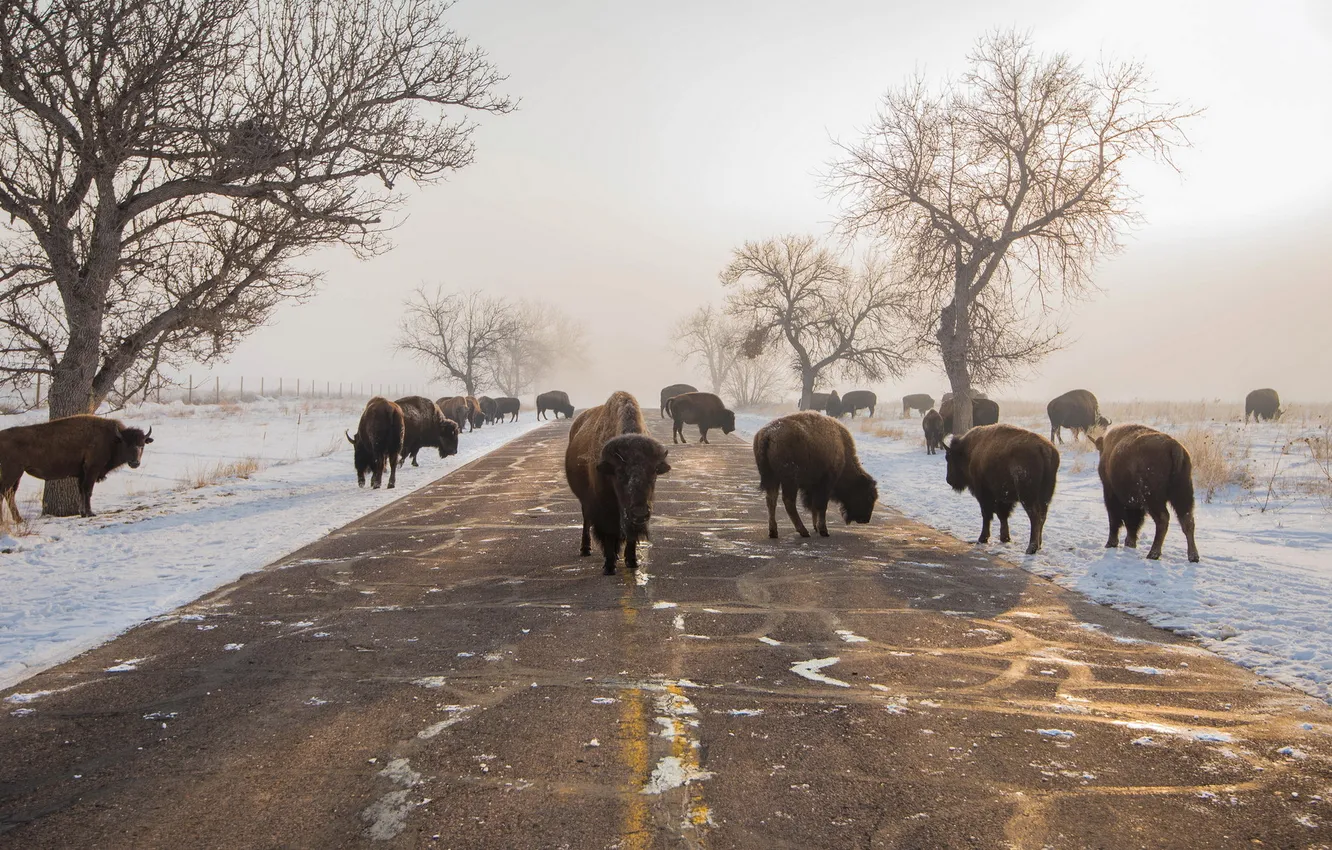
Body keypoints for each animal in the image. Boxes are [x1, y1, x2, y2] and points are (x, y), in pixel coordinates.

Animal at [0, 415, 154, 520]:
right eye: (126, 444)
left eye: (142, 445)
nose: (135, 463)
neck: (112, 439)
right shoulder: (92, 469)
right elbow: (88, 491)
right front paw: (90, 513)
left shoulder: (81, 474)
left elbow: (81, 491)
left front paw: (82, 513)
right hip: (13, 473)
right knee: (4, 493)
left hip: (17, 475)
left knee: (10, 495)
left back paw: (19, 520)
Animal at [564, 391, 671, 574]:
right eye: (620, 473)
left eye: (654, 472)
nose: (640, 513)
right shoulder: (606, 508)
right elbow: (608, 533)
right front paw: (609, 566)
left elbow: (630, 535)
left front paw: (632, 561)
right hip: (585, 502)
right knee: (586, 520)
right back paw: (586, 549)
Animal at [944, 424, 1059, 555]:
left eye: (949, 458)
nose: (948, 479)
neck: (971, 450)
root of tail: (1044, 449)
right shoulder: (1002, 498)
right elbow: (1002, 515)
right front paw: (1005, 538)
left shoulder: (984, 495)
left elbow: (987, 515)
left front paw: (982, 538)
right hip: (1045, 496)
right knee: (1042, 516)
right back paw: (1038, 546)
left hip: (1027, 497)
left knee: (1034, 516)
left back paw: (1031, 548)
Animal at [1095, 424, 1200, 562]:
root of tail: (1174, 446)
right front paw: (1130, 543)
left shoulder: (1110, 493)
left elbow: (1115, 519)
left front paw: (1111, 543)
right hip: (1182, 494)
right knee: (1187, 521)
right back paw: (1193, 556)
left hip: (1153, 499)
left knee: (1163, 519)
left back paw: (1153, 554)